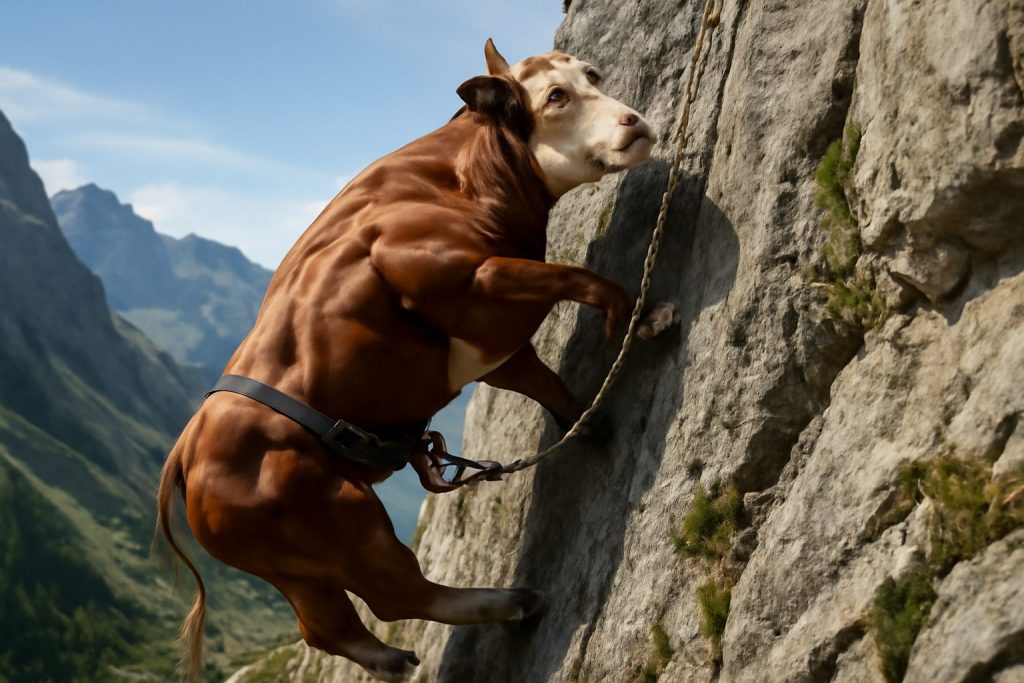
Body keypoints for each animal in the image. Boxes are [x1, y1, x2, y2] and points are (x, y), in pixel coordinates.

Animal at [157, 39, 654, 681]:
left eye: (593, 75)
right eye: (555, 97)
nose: (633, 122)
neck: (463, 178)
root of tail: (186, 452)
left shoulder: (493, 344)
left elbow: (545, 382)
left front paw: (587, 423)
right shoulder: (470, 281)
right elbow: (577, 276)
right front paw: (640, 314)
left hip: (292, 561)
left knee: (326, 626)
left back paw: (393, 655)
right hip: (343, 520)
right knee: (397, 593)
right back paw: (512, 601)